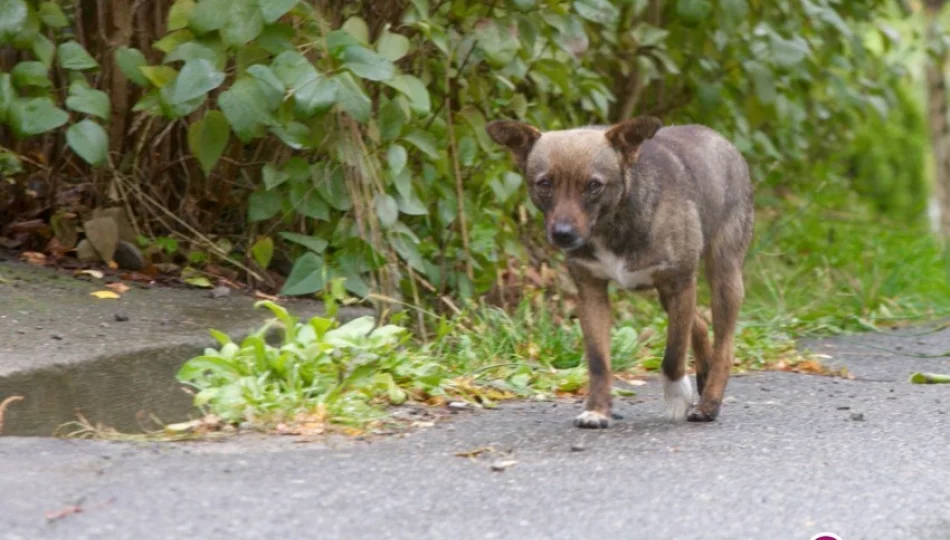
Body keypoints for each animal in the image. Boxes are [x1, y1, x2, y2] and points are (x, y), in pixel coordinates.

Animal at [488, 116, 756, 428]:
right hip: (667, 293)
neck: (611, 222)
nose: (563, 234)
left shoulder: (680, 283)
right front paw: (597, 410)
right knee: (699, 325)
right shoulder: (592, 293)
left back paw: (710, 402)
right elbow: (598, 361)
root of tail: (718, 137)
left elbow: (674, 352)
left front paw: (676, 395)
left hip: (723, 275)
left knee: (724, 345)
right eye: (544, 184)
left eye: (594, 185)